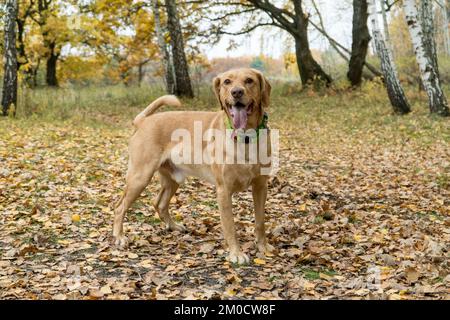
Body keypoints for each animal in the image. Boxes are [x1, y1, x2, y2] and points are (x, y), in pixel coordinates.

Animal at [112, 68, 274, 264]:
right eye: (227, 82)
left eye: (249, 80)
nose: (236, 92)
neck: (246, 137)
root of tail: (143, 121)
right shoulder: (224, 190)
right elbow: (230, 226)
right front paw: (236, 253)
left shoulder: (261, 186)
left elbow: (260, 221)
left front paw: (263, 246)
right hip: (140, 177)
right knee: (120, 206)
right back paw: (119, 236)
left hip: (173, 180)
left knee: (159, 204)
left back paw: (173, 226)